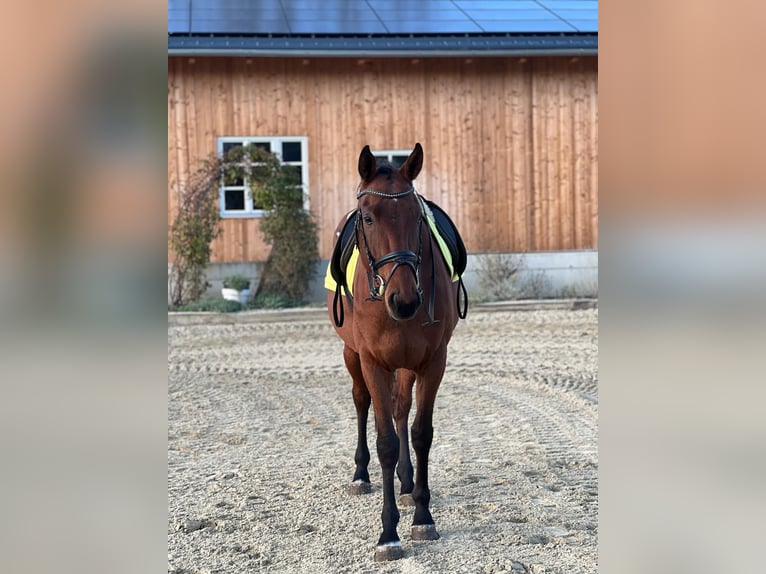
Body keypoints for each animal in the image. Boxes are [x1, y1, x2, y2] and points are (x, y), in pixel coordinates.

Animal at [328, 144, 462, 564]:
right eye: (368, 217)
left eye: (417, 217)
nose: (404, 300)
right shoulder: (373, 362)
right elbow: (385, 440)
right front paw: (388, 534)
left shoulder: (432, 362)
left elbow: (420, 433)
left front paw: (422, 514)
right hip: (352, 355)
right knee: (362, 402)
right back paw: (361, 475)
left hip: (405, 364)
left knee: (402, 409)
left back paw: (405, 484)